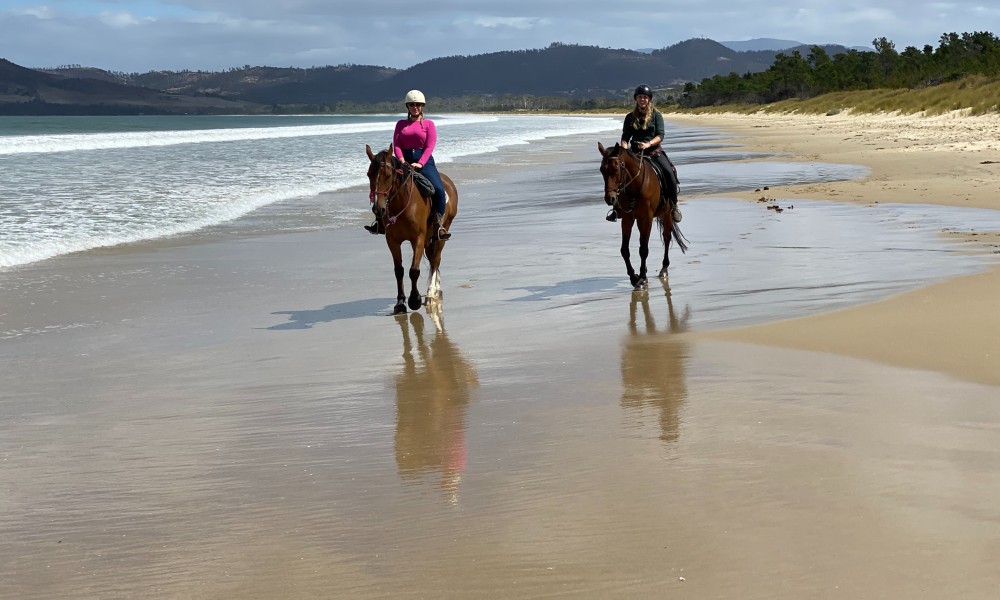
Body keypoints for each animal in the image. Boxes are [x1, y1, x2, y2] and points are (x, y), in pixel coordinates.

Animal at [368, 144, 460, 314]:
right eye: (369, 174)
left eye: (388, 175)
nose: (379, 209)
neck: (402, 203)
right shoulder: (392, 241)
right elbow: (399, 271)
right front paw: (400, 303)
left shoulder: (418, 238)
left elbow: (414, 270)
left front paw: (414, 300)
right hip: (427, 238)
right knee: (432, 259)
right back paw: (436, 289)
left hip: (441, 232)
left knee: (436, 259)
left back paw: (431, 294)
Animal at [596, 142, 684, 290]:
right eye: (602, 170)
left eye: (616, 169)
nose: (610, 198)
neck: (634, 185)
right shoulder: (627, 218)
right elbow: (624, 250)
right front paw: (634, 278)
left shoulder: (646, 218)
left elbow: (643, 249)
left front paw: (642, 278)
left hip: (667, 213)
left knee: (666, 238)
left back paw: (664, 269)